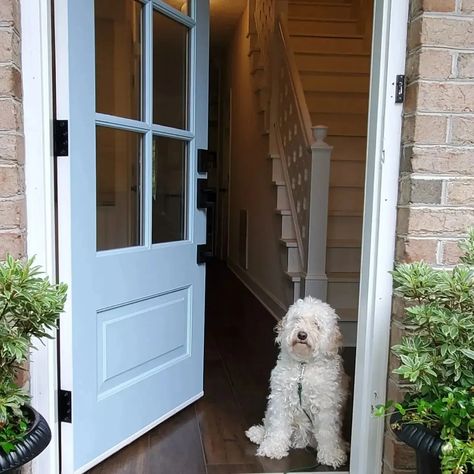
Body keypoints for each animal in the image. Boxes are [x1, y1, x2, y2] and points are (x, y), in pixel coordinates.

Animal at [246, 296, 350, 466]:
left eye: (316, 324)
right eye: (298, 319)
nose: (302, 335)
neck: (303, 367)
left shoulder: (326, 405)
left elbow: (327, 432)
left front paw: (331, 455)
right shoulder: (281, 398)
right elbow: (278, 425)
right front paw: (273, 448)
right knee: (268, 422)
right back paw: (259, 433)